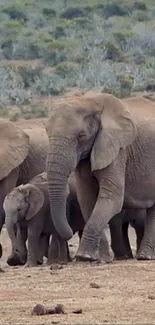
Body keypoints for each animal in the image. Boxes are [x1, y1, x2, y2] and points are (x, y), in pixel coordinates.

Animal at [45, 92, 155, 260]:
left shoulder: (118, 148)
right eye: (47, 132)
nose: (69, 234)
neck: (91, 101)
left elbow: (111, 197)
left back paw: (144, 257)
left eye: (81, 136)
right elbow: (87, 198)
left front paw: (84, 256)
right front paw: (98, 258)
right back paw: (144, 256)